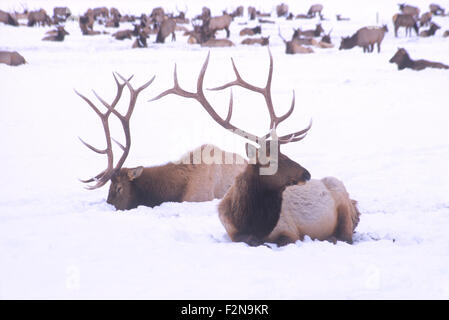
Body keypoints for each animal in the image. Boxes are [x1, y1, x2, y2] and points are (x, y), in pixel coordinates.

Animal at [152, 49, 358, 245]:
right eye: (271, 160)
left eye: (285, 154)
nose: (306, 174)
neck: (250, 222)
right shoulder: (231, 231)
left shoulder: (290, 230)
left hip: (342, 202)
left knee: (346, 235)